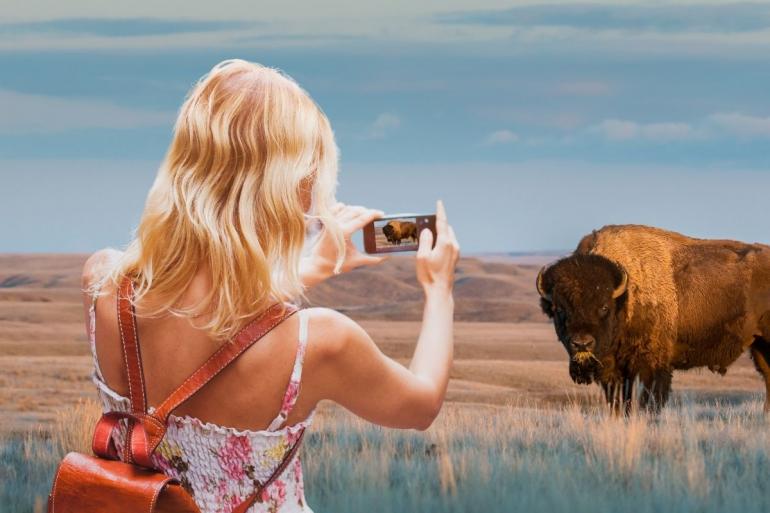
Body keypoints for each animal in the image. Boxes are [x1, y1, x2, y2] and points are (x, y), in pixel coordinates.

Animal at [536, 224, 768, 412]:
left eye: (604, 307)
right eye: (559, 309)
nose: (582, 344)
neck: (625, 295)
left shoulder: (649, 366)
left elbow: (646, 402)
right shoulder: (614, 371)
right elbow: (618, 403)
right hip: (759, 345)